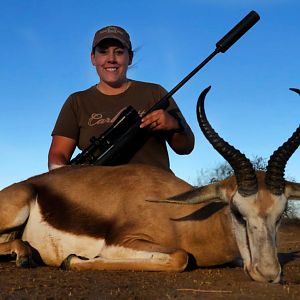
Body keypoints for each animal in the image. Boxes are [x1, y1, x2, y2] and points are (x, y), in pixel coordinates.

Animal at [0, 87, 298, 284]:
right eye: (237, 212)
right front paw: (72, 259)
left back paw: (24, 254)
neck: (184, 220)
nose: (269, 274)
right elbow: (181, 257)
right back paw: (24, 255)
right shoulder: (123, 242)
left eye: (281, 214)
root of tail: (29, 185)